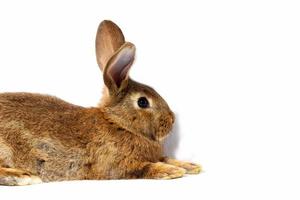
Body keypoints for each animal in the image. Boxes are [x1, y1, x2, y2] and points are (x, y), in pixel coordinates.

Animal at [0, 20, 202, 186]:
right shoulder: (117, 165)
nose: (172, 120)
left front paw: (190, 165)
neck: (118, 123)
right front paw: (173, 171)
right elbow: (145, 167)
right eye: (143, 102)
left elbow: (165, 158)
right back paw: (24, 176)